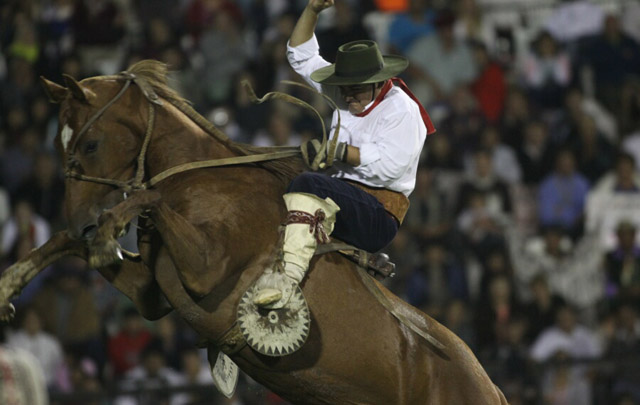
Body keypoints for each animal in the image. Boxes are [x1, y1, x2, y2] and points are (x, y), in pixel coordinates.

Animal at [0, 60, 510, 404]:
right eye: (57, 141)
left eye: (90, 143)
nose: (81, 219)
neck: (202, 178)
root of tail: (491, 388)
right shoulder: (155, 295)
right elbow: (72, 245)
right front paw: (12, 280)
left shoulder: (206, 271)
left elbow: (151, 198)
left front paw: (109, 229)